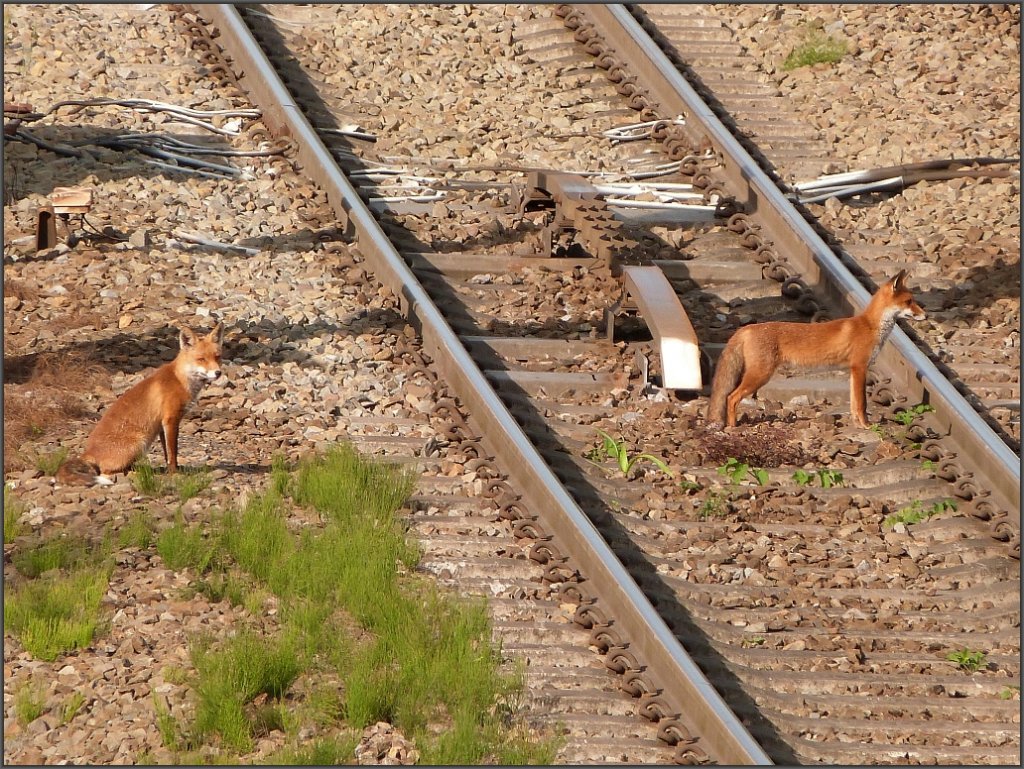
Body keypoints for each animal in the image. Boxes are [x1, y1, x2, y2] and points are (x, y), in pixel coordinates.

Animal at [56, 322, 224, 486]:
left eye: (217, 357)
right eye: (201, 359)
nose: (218, 373)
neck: (181, 379)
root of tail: (88, 452)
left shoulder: (161, 425)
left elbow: (167, 452)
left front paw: (171, 469)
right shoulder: (171, 419)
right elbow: (173, 452)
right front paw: (175, 472)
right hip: (140, 442)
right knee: (106, 471)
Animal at [706, 270, 925, 429]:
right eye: (909, 302)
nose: (926, 315)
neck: (870, 326)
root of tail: (746, 328)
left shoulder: (853, 371)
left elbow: (854, 404)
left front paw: (857, 424)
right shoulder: (860, 367)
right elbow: (862, 404)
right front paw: (866, 426)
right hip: (760, 375)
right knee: (731, 397)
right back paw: (733, 427)